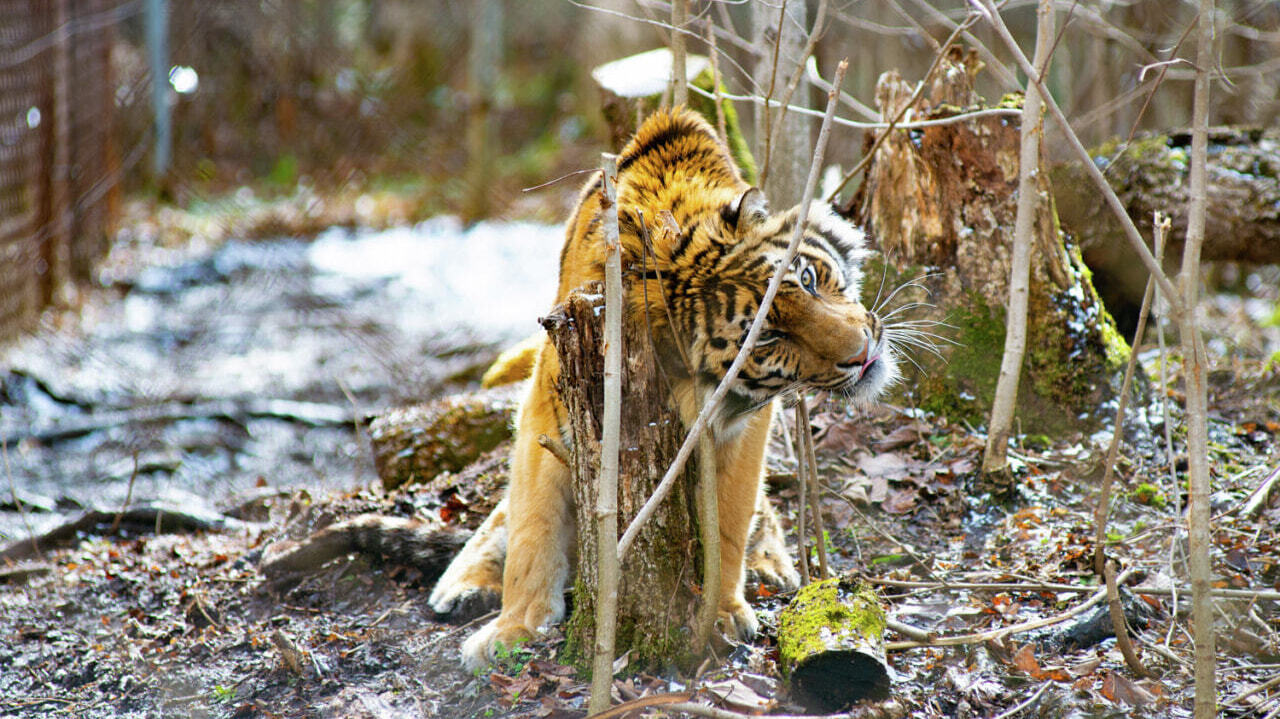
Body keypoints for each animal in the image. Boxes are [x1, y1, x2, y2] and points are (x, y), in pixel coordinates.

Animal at [430, 106, 901, 665]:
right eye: (769, 335)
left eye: (807, 279)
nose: (863, 353)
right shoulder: (547, 407)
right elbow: (532, 523)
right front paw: (514, 627)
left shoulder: (742, 424)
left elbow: (729, 518)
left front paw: (721, 612)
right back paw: (461, 586)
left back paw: (769, 564)